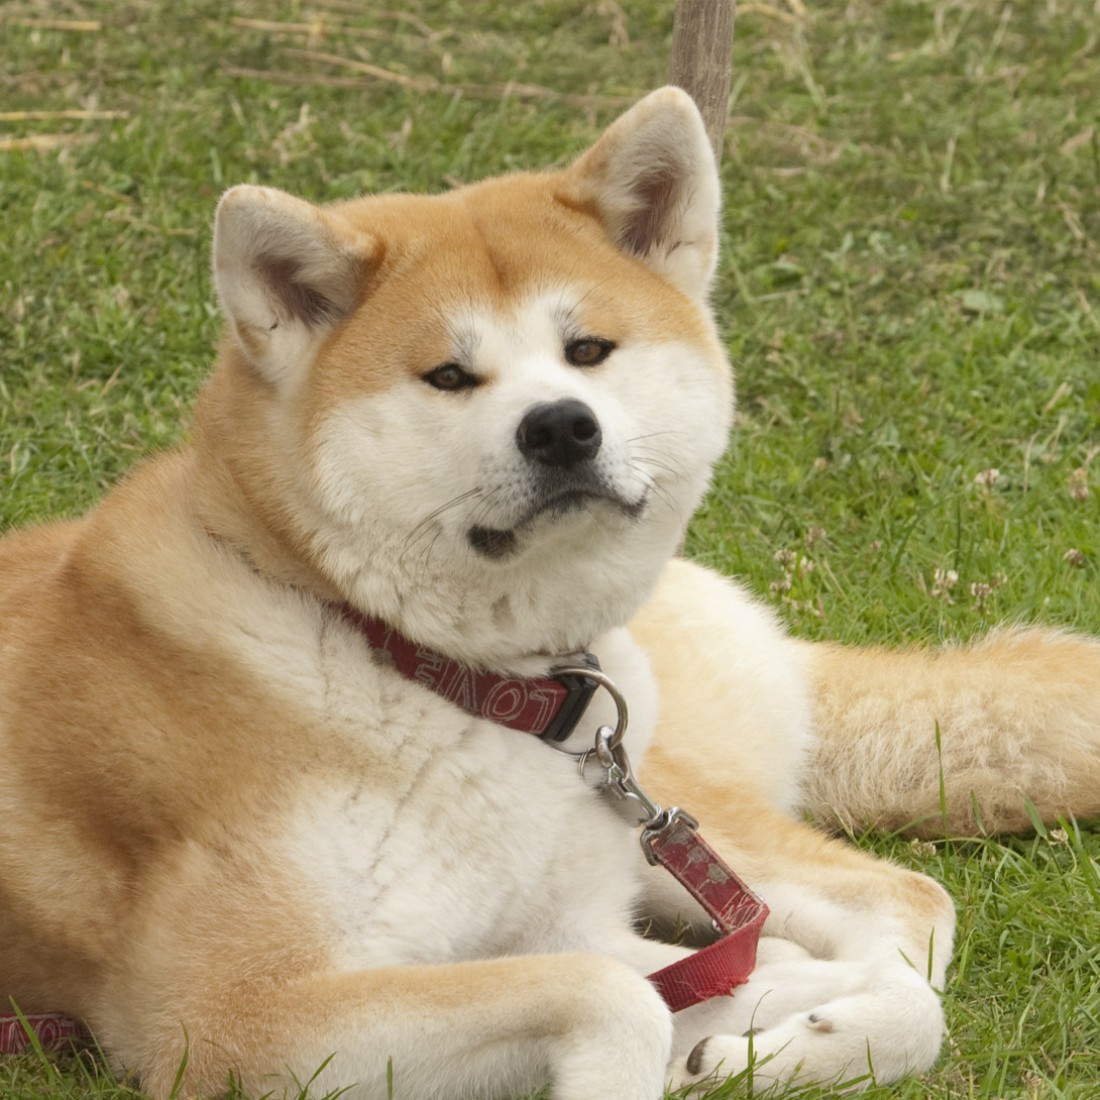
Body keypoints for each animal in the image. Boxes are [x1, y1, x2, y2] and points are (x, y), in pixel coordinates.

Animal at [2, 88, 1100, 1100]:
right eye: (448, 375)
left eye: (587, 350)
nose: (563, 426)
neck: (418, 666)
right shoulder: (227, 1017)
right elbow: (618, 997)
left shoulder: (564, 926)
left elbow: (772, 983)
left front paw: (777, 1041)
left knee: (894, 912)